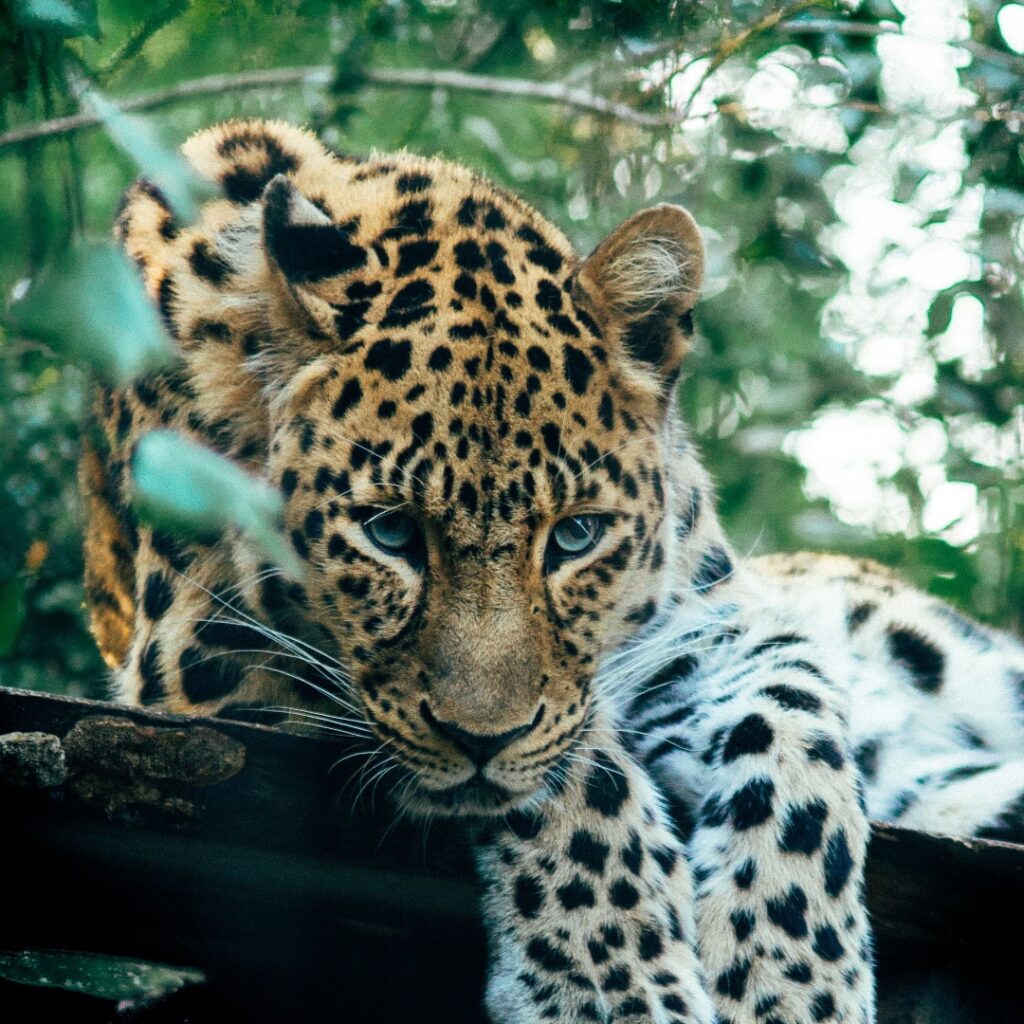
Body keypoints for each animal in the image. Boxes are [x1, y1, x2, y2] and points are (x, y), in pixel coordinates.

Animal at [79, 121, 1024, 1024]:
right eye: (390, 532)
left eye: (576, 536)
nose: (479, 740)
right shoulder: (200, 651)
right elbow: (574, 769)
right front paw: (615, 984)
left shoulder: (705, 622)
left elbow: (793, 727)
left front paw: (792, 980)